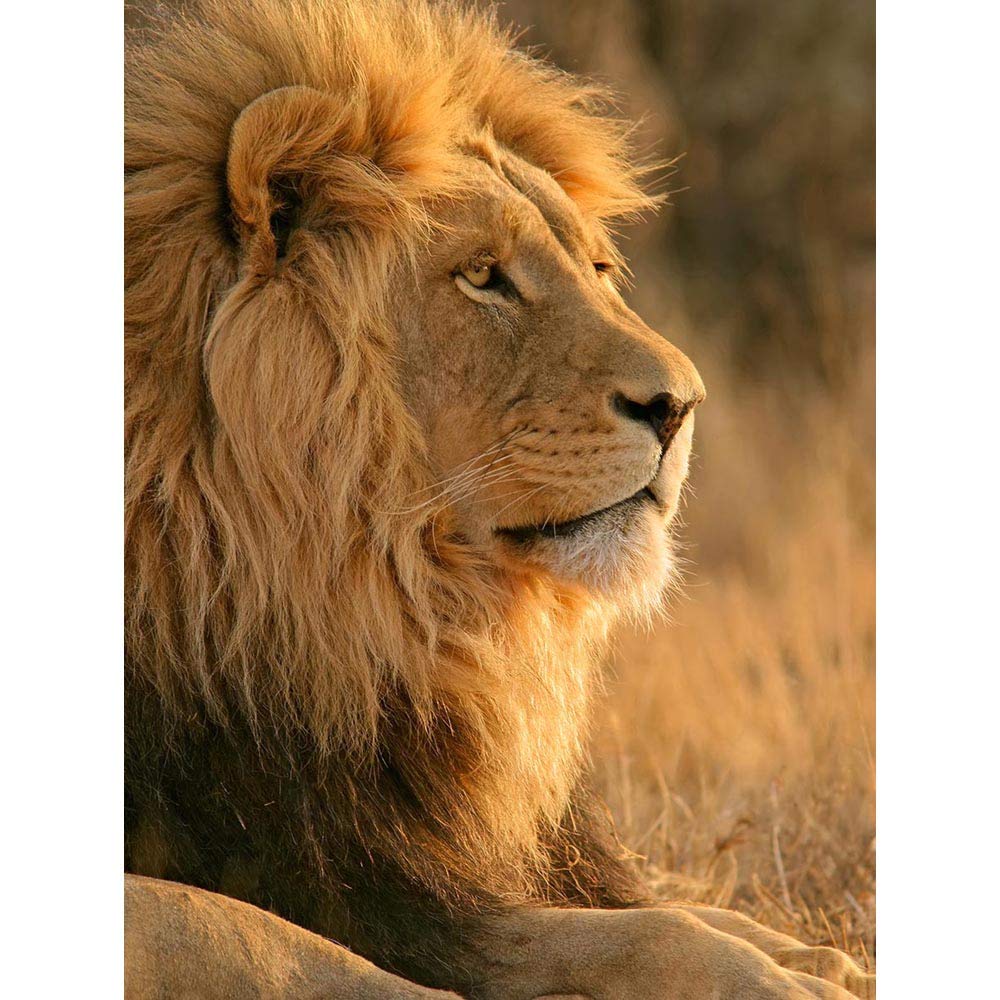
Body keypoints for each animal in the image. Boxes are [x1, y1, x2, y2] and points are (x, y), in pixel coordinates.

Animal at [125, 2, 875, 998]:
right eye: (483, 276)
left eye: (598, 268)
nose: (681, 405)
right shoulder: (340, 871)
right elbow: (266, 935)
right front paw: (777, 973)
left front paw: (804, 951)